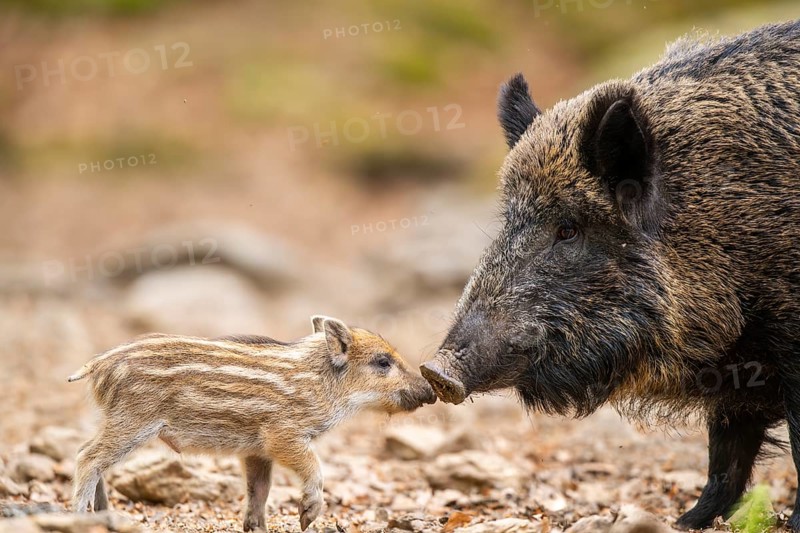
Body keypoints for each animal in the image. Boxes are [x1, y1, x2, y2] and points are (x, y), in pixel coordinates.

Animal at [68, 316, 435, 531]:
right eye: (383, 362)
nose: (430, 391)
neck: (320, 382)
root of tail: (97, 365)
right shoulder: (282, 435)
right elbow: (313, 466)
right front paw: (307, 516)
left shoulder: (256, 450)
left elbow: (259, 488)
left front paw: (256, 527)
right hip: (133, 420)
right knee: (87, 457)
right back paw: (82, 515)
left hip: (120, 420)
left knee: (91, 454)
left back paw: (106, 515)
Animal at [420, 20, 800, 531]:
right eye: (509, 221)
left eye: (568, 229)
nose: (436, 371)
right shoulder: (741, 366)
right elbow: (726, 451)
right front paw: (686, 520)